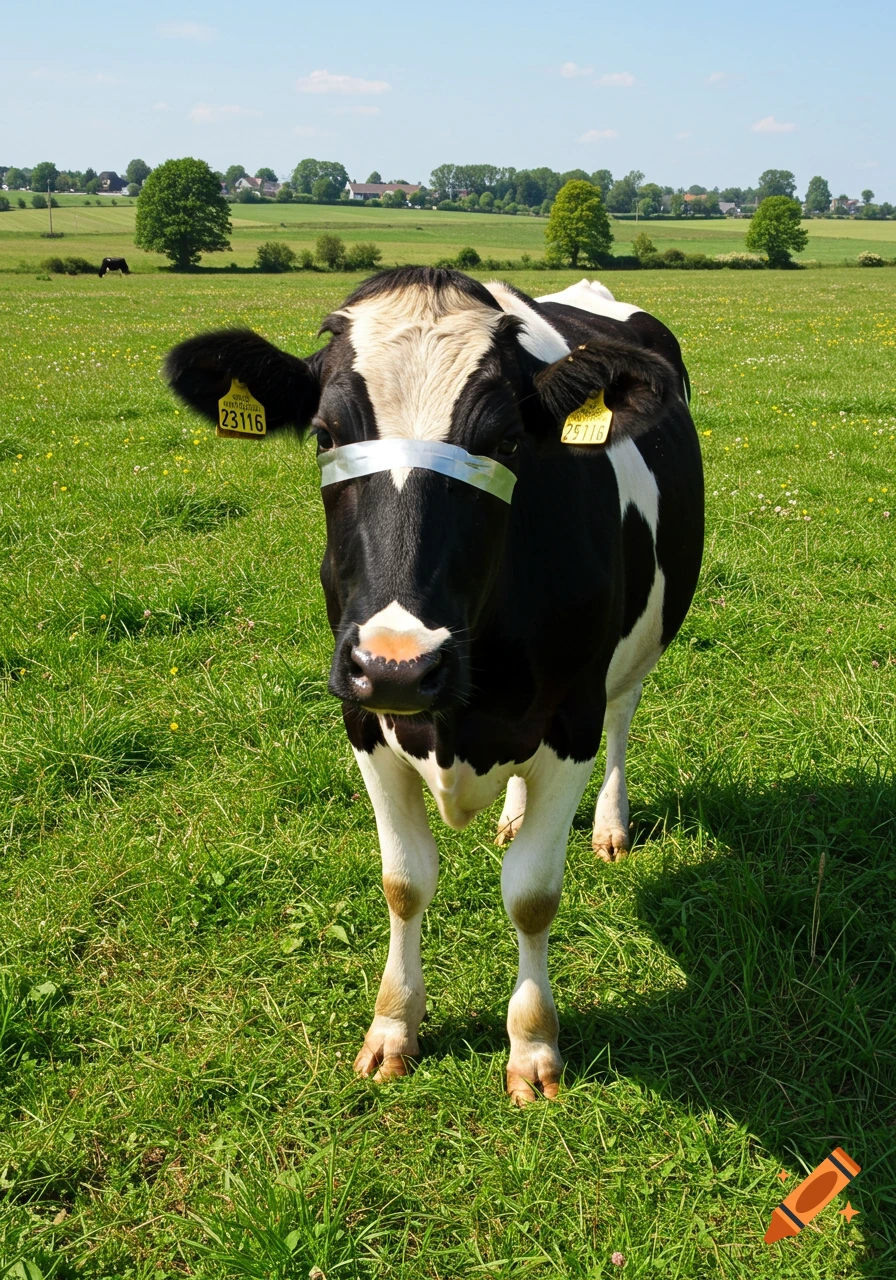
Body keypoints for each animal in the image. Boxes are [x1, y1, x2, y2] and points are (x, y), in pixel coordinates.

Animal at [164, 267, 704, 1103]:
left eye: (505, 441)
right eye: (324, 434)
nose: (401, 662)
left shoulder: (570, 720)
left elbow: (532, 894)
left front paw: (533, 1046)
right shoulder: (363, 718)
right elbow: (404, 883)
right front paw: (392, 1029)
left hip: (633, 656)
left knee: (624, 715)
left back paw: (610, 825)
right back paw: (510, 814)